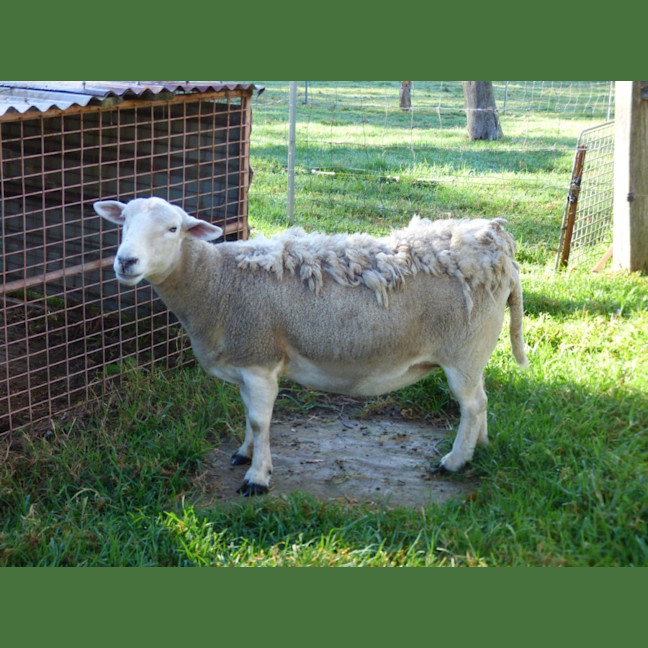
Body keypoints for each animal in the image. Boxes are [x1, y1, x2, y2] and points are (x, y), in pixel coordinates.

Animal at [94, 197, 528, 496]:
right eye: (124, 221)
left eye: (172, 229)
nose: (126, 262)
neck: (217, 283)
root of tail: (498, 245)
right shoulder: (245, 360)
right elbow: (248, 414)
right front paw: (244, 453)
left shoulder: (261, 362)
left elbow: (261, 420)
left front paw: (257, 477)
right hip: (474, 353)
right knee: (480, 401)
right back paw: (478, 448)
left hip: (463, 349)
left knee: (472, 404)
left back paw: (454, 461)